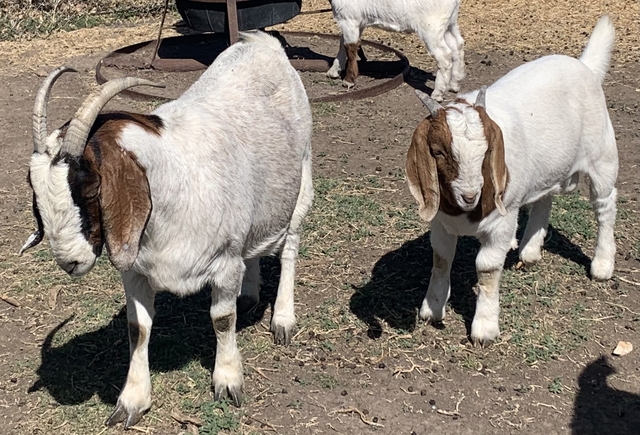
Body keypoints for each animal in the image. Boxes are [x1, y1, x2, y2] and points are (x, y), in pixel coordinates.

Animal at [23, 30, 314, 430]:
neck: (173, 184)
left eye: (91, 189)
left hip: (302, 179)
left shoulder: (224, 260)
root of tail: (262, 42)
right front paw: (131, 401)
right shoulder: (134, 269)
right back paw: (249, 293)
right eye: (34, 190)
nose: (70, 261)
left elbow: (221, 320)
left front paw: (228, 381)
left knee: (290, 246)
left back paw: (283, 318)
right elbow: (138, 328)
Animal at [328, 0, 462, 101]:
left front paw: (348, 80)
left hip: (432, 26)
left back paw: (437, 93)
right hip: (450, 24)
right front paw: (333, 71)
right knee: (457, 45)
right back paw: (454, 84)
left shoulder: (349, 18)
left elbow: (349, 47)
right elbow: (343, 44)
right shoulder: (357, 22)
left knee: (444, 56)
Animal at [408, 15, 616, 346]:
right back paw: (529, 251)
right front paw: (432, 308)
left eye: (487, 150)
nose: (470, 196)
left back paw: (602, 265)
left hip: (602, 156)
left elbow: (486, 268)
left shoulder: (500, 223)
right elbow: (441, 257)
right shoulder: (440, 221)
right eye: (438, 151)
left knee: (605, 206)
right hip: (548, 166)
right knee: (545, 197)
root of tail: (584, 66)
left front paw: (484, 329)